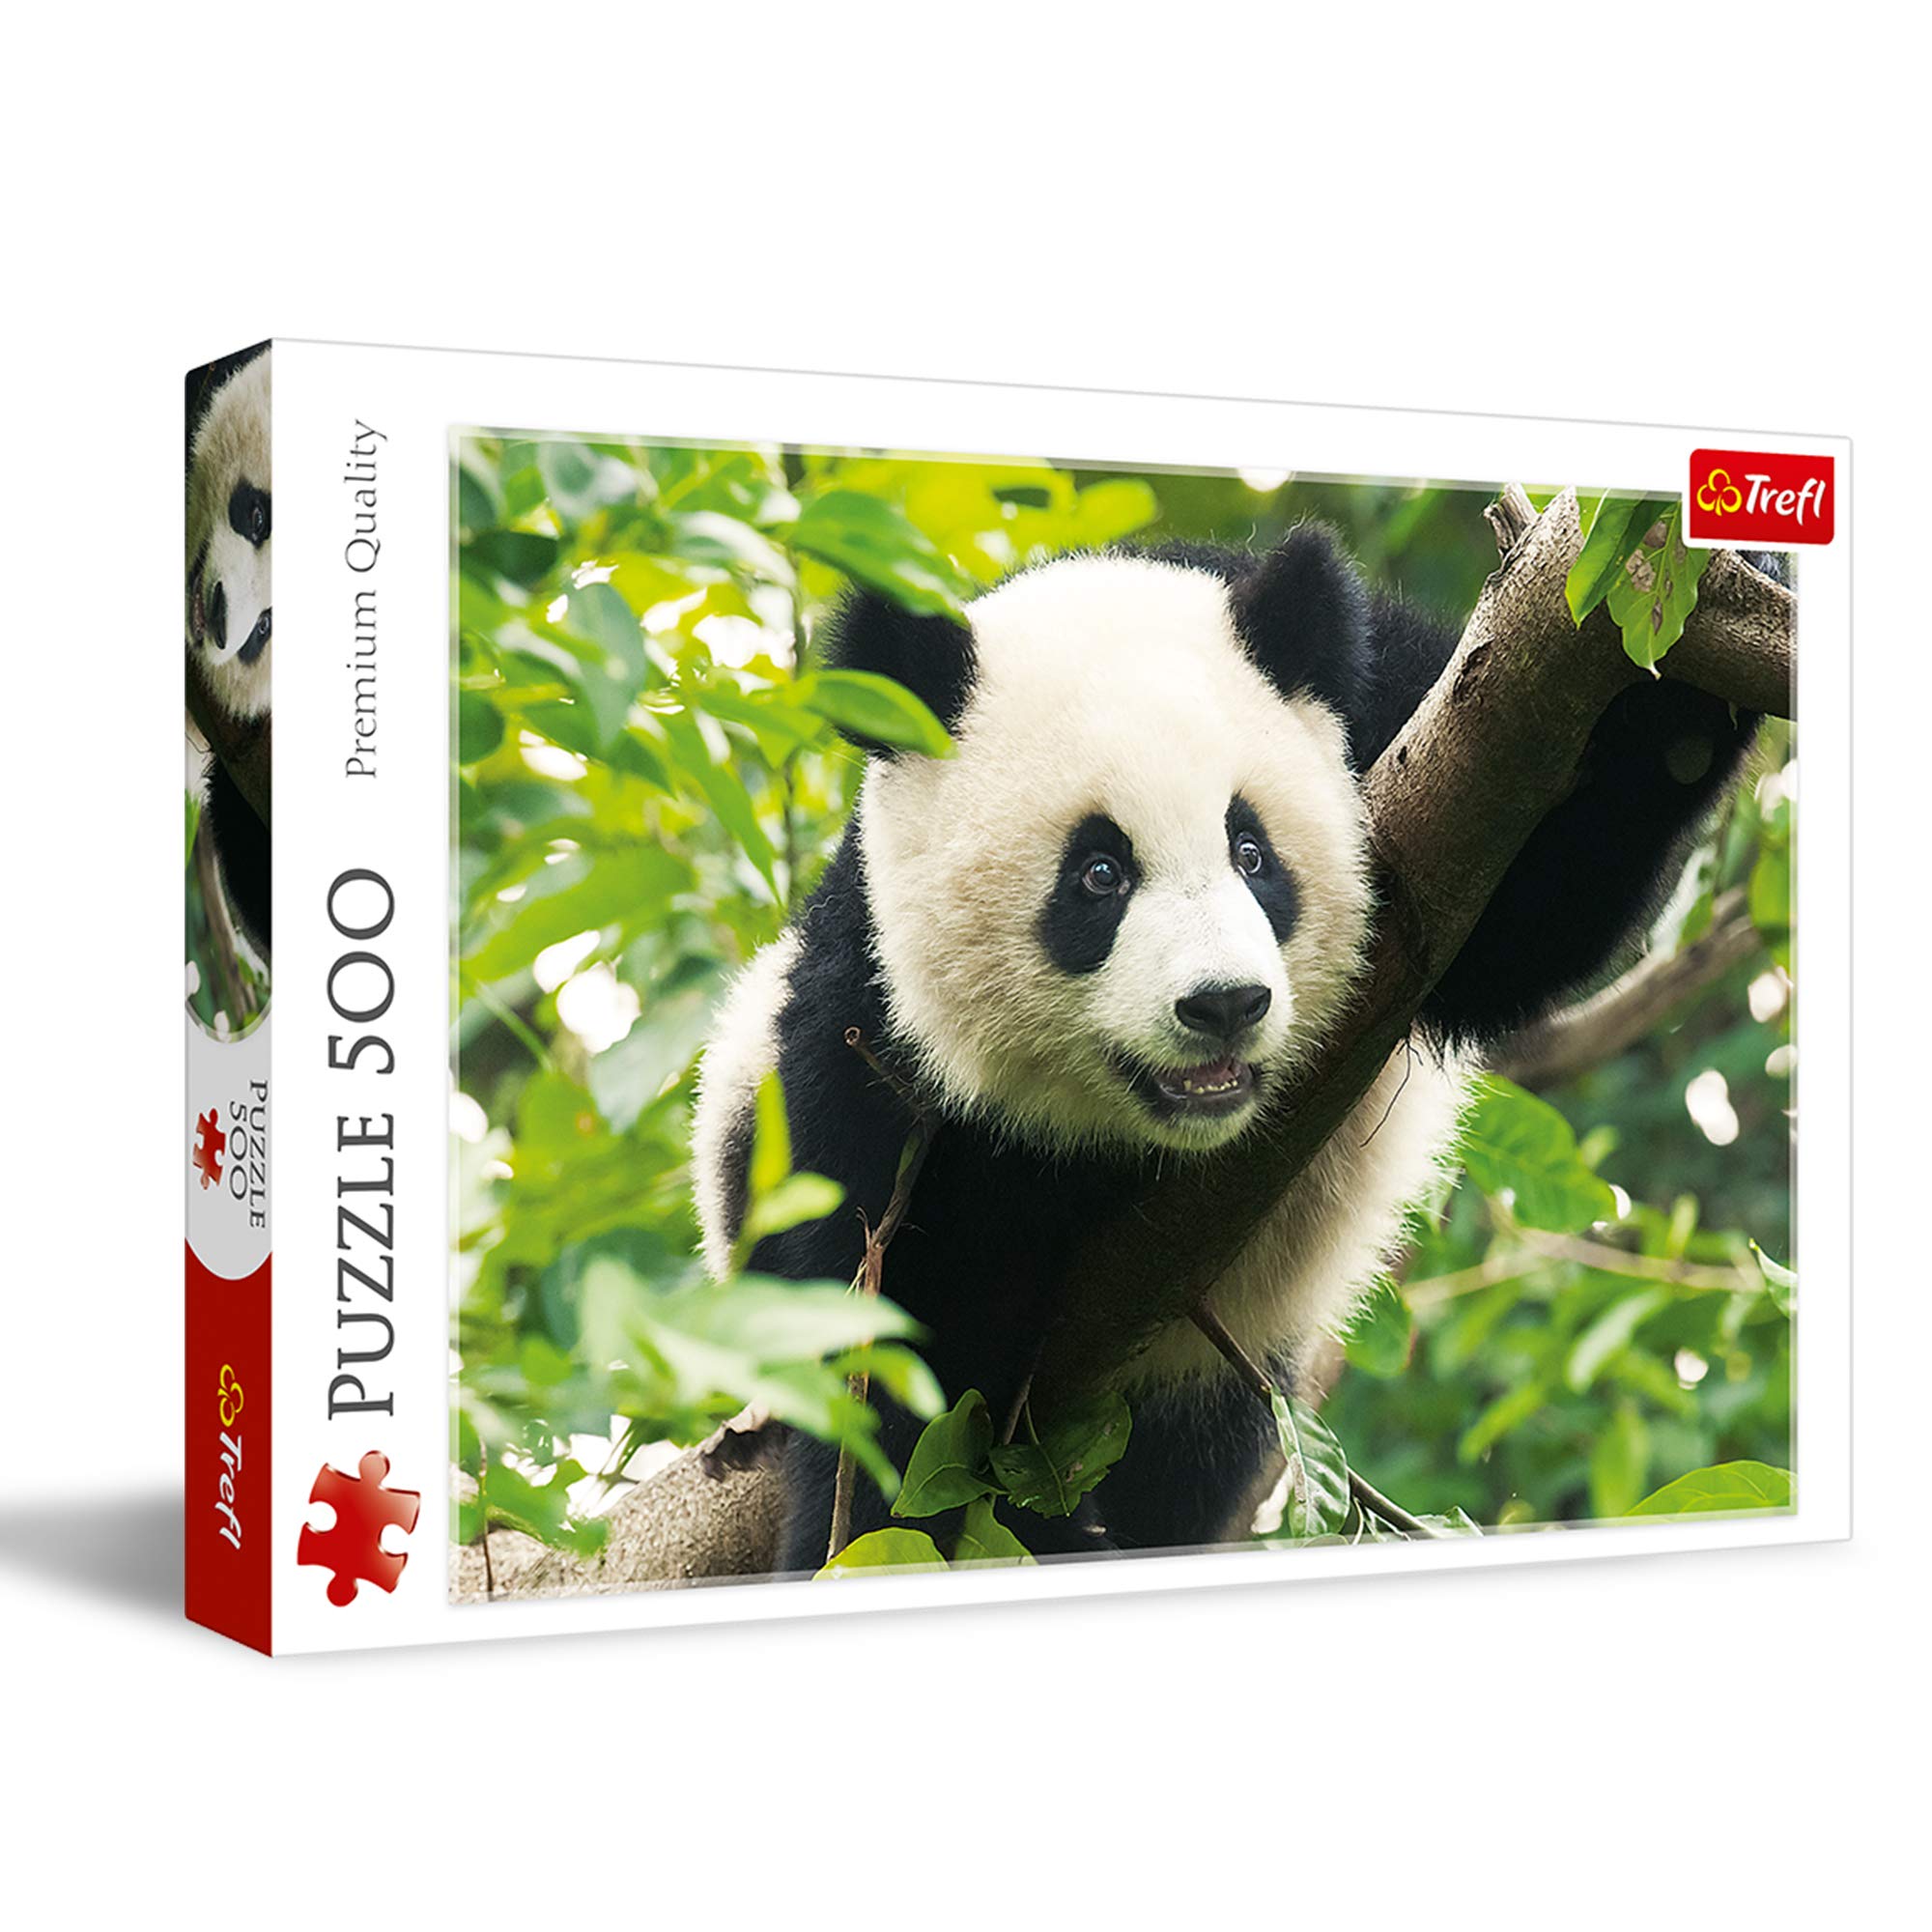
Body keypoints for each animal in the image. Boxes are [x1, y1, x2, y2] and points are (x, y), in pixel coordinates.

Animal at [692, 524, 1758, 1573]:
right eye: (1098, 873)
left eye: (1252, 853)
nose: (1223, 1004)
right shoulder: (869, 1047)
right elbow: (897, 1355)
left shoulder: (1403, 720)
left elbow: (1534, 901)